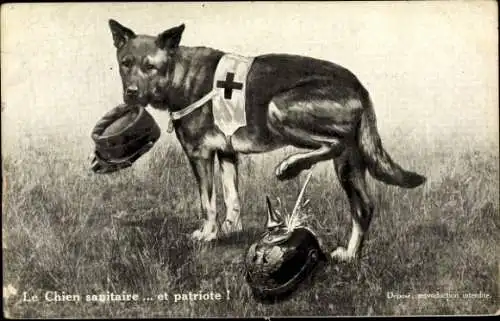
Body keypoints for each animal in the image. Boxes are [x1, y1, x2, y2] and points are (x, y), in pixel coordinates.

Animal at [108, 18, 426, 262]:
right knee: (363, 207)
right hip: (349, 162)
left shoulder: (200, 155)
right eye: (125, 64)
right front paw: (230, 228)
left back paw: (290, 166)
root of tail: (357, 84)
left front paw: (209, 233)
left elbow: (207, 202)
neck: (179, 74)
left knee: (330, 145)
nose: (131, 93)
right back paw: (350, 255)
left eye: (150, 66)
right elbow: (232, 197)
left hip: (280, 109)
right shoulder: (226, 154)